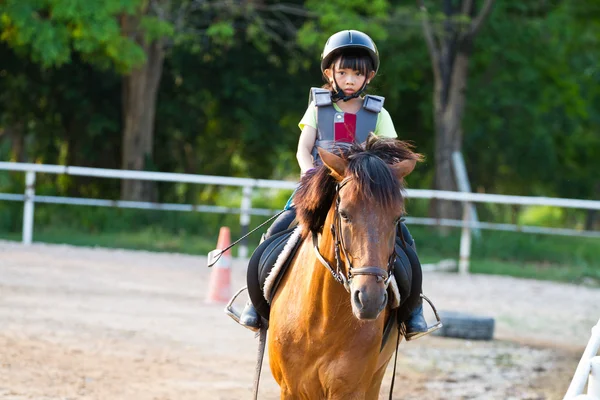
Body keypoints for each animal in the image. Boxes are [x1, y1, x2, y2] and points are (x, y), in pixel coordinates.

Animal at [268, 136, 422, 398]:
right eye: (344, 214)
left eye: (397, 218)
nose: (370, 299)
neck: (321, 319)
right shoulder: (291, 388)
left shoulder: (351, 389)